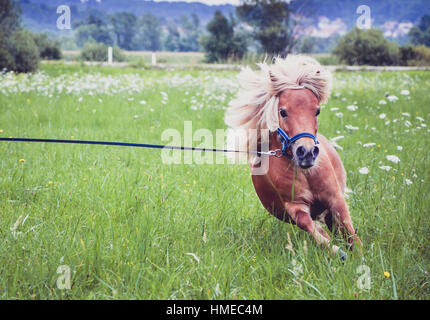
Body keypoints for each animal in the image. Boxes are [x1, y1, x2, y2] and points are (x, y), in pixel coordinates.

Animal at [227, 55, 362, 260]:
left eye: (317, 111)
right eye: (283, 111)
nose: (306, 152)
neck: (307, 174)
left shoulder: (335, 199)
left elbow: (350, 232)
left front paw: (361, 257)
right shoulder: (295, 207)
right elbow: (312, 228)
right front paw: (338, 252)